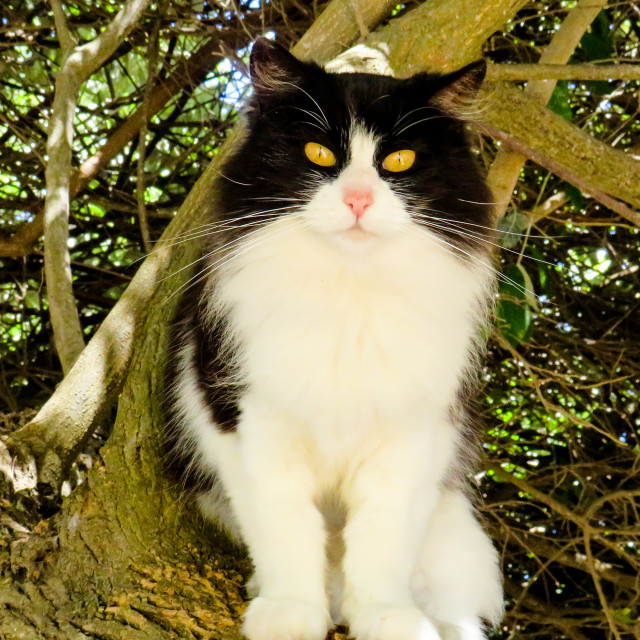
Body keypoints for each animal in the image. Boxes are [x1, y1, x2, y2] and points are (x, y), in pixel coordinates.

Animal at [165, 37, 504, 640]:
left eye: (399, 162)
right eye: (320, 155)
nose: (359, 200)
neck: (350, 288)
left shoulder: (410, 440)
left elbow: (380, 545)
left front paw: (389, 619)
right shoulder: (252, 426)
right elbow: (287, 533)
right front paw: (289, 613)